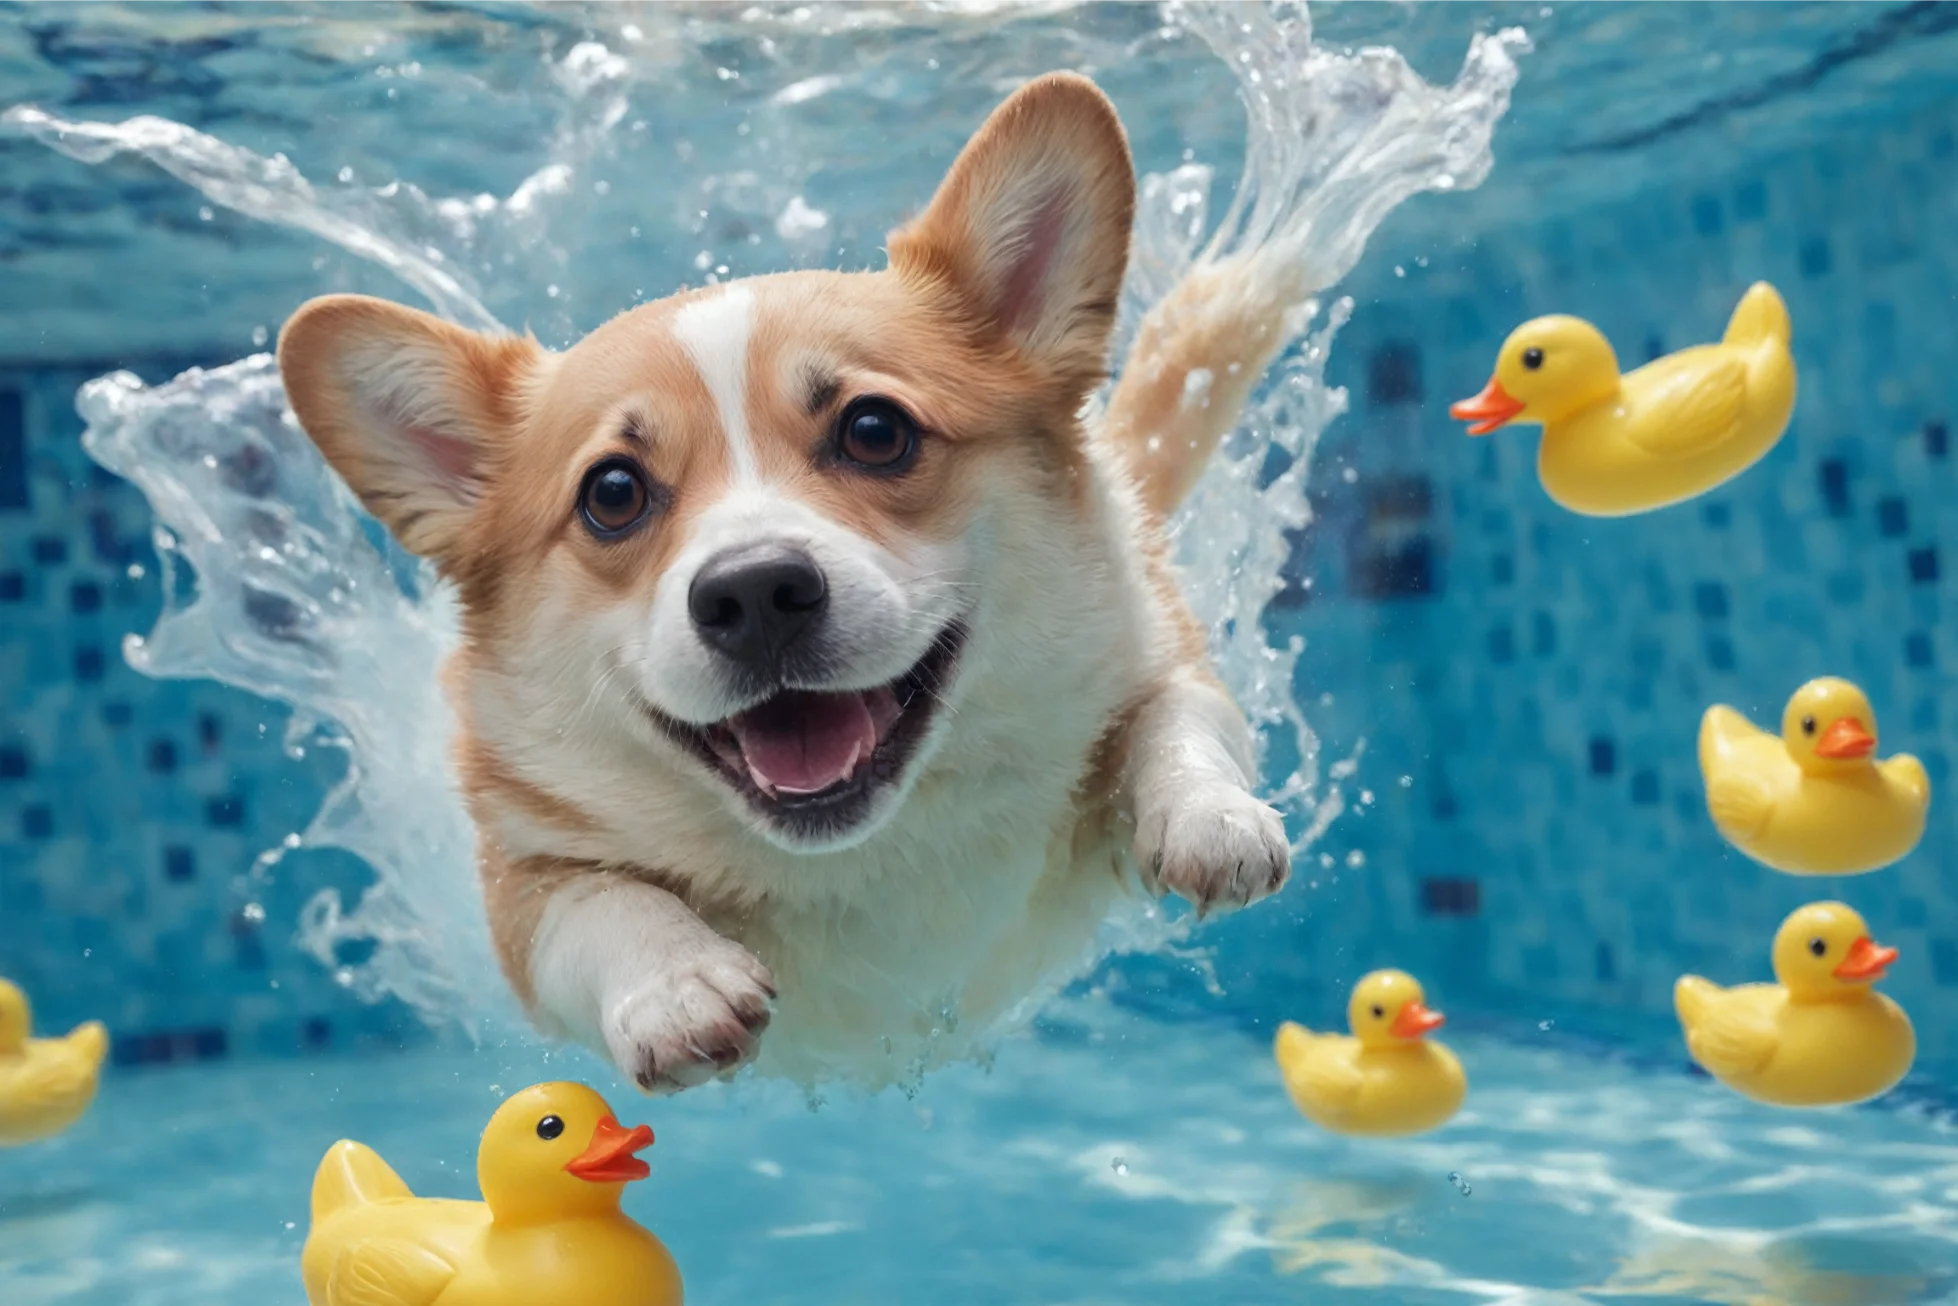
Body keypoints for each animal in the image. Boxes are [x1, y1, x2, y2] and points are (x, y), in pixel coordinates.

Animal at [268, 71, 1292, 1096]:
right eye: (612, 494)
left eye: (875, 431)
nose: (755, 594)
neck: (864, 853)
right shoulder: (523, 884)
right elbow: (596, 903)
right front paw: (676, 984)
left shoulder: (1152, 658)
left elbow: (1179, 720)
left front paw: (1210, 817)